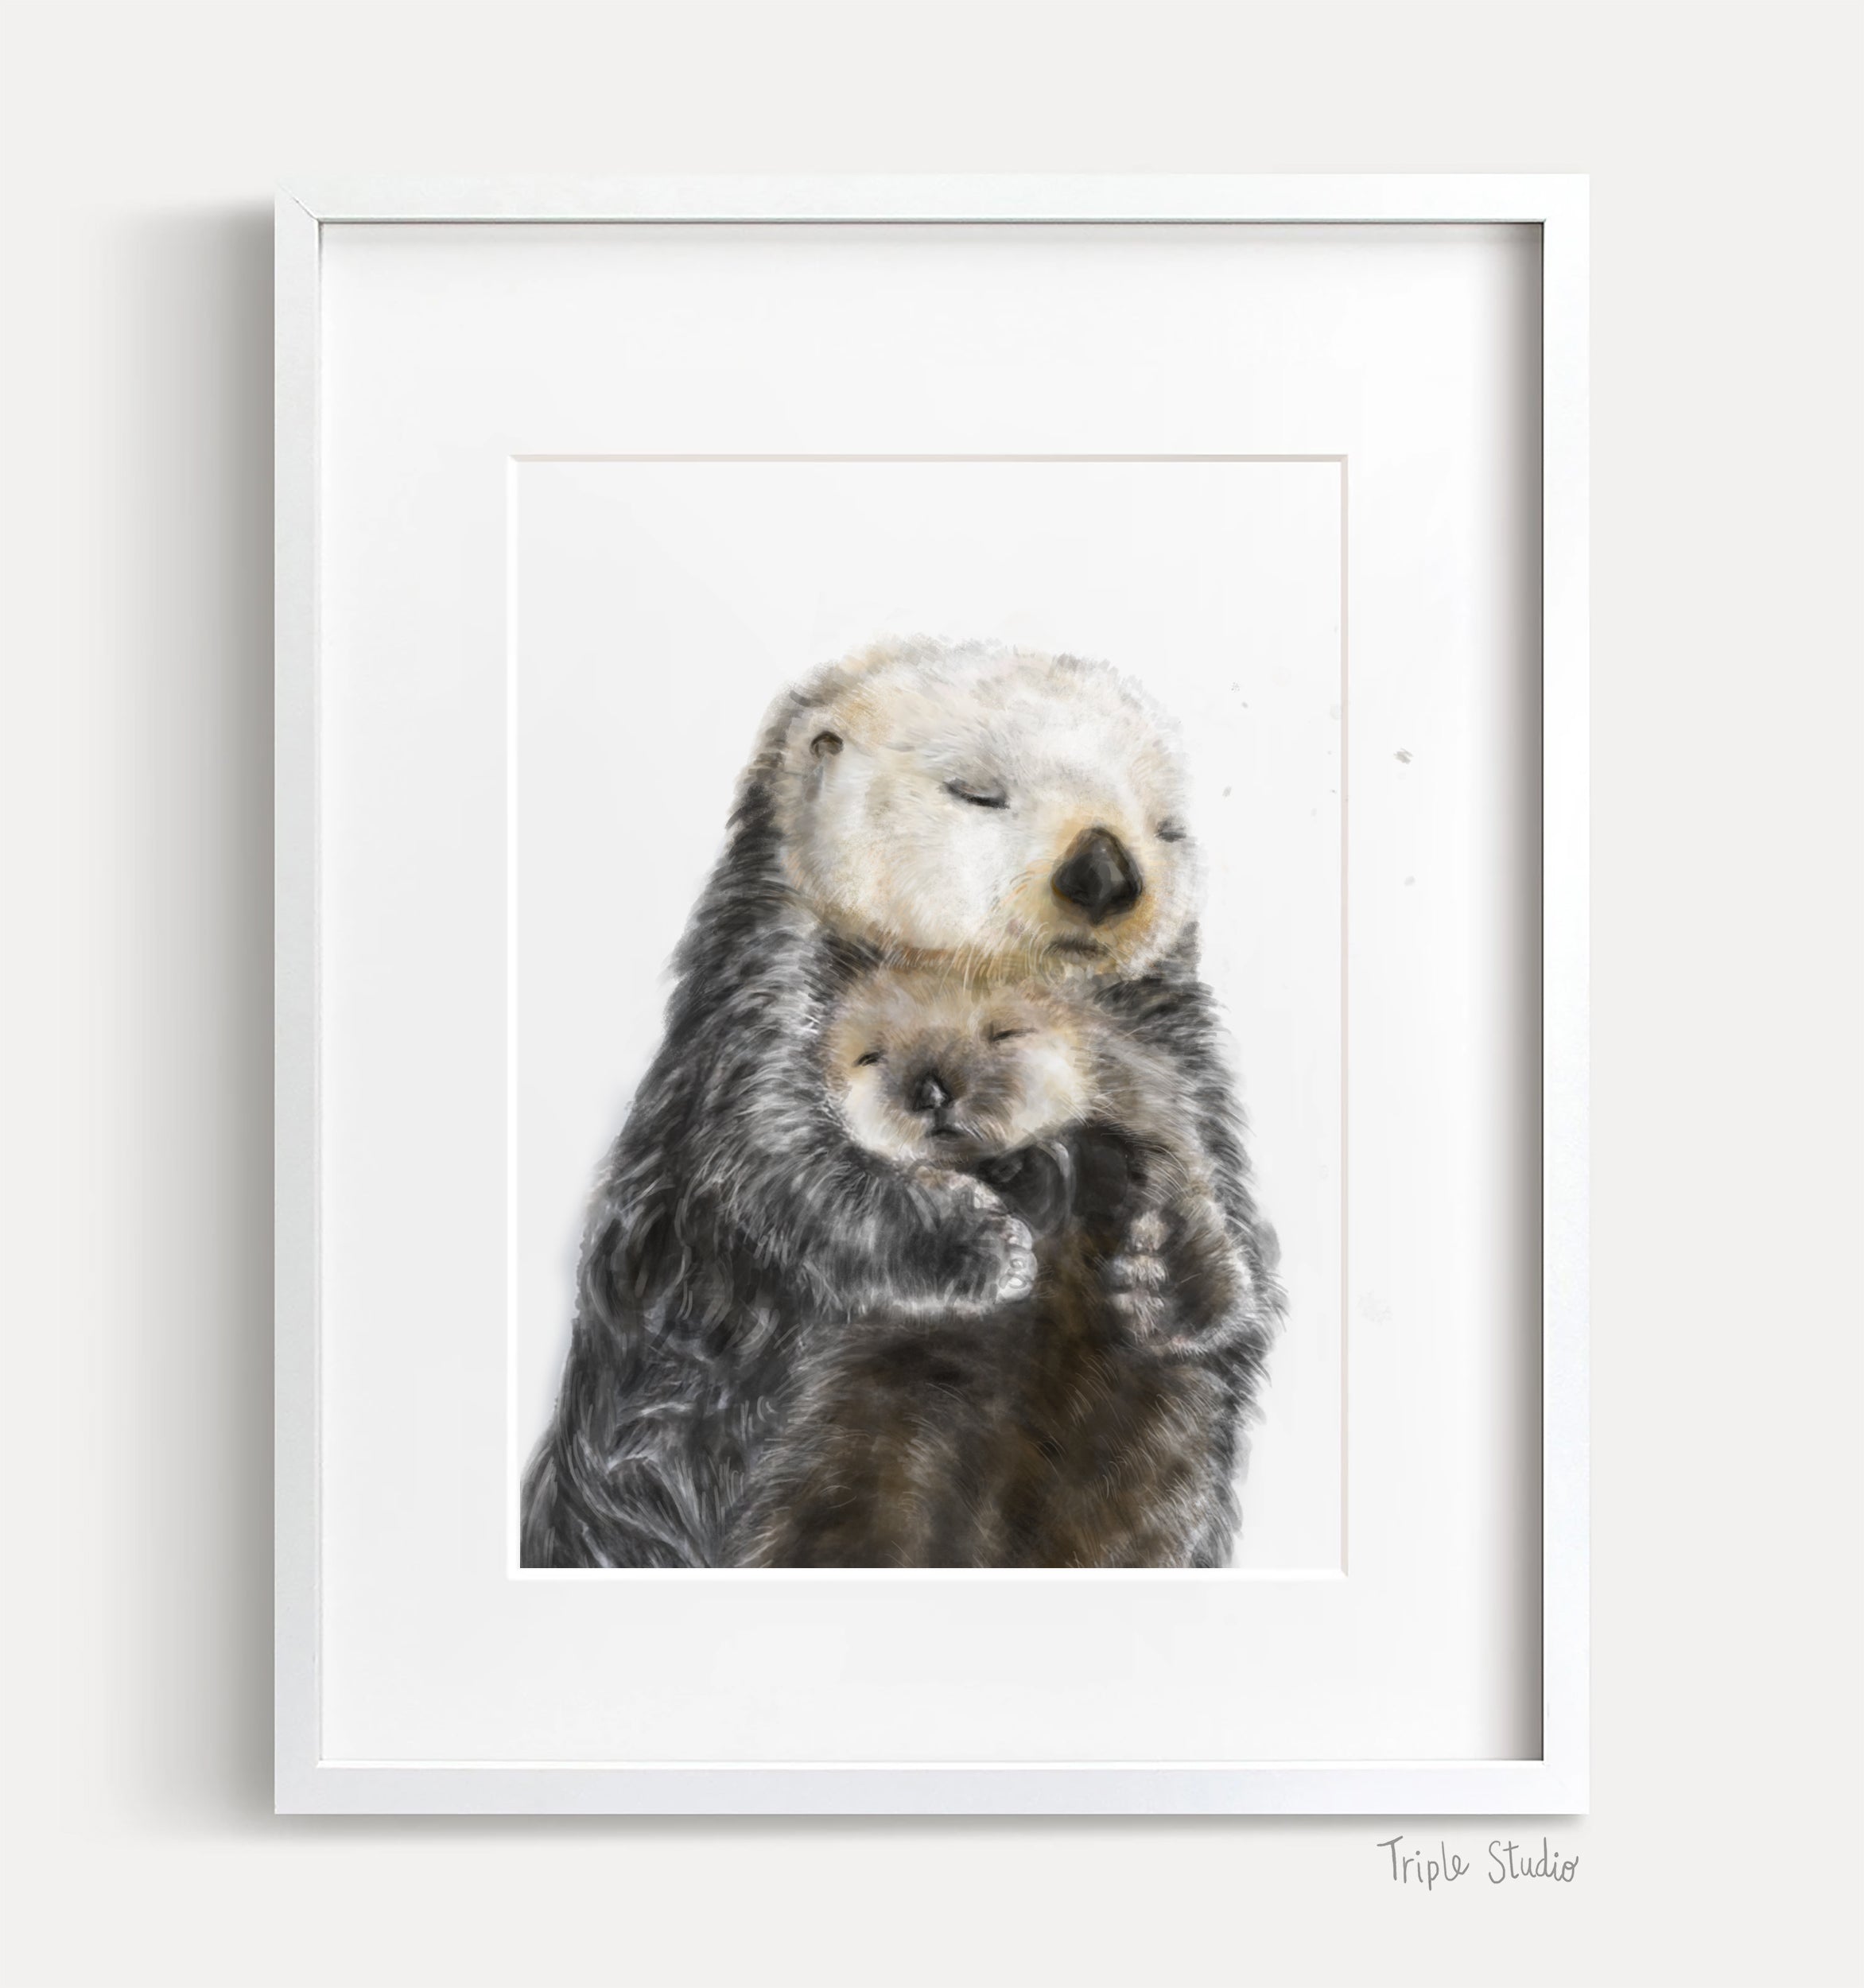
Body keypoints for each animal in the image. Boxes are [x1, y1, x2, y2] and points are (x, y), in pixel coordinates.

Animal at [730, 967, 1264, 1567]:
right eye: (871, 1055)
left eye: (1004, 1032)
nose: (931, 1089)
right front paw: (991, 1246)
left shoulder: (1156, 1125)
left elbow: (1196, 1224)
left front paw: (1155, 1287)